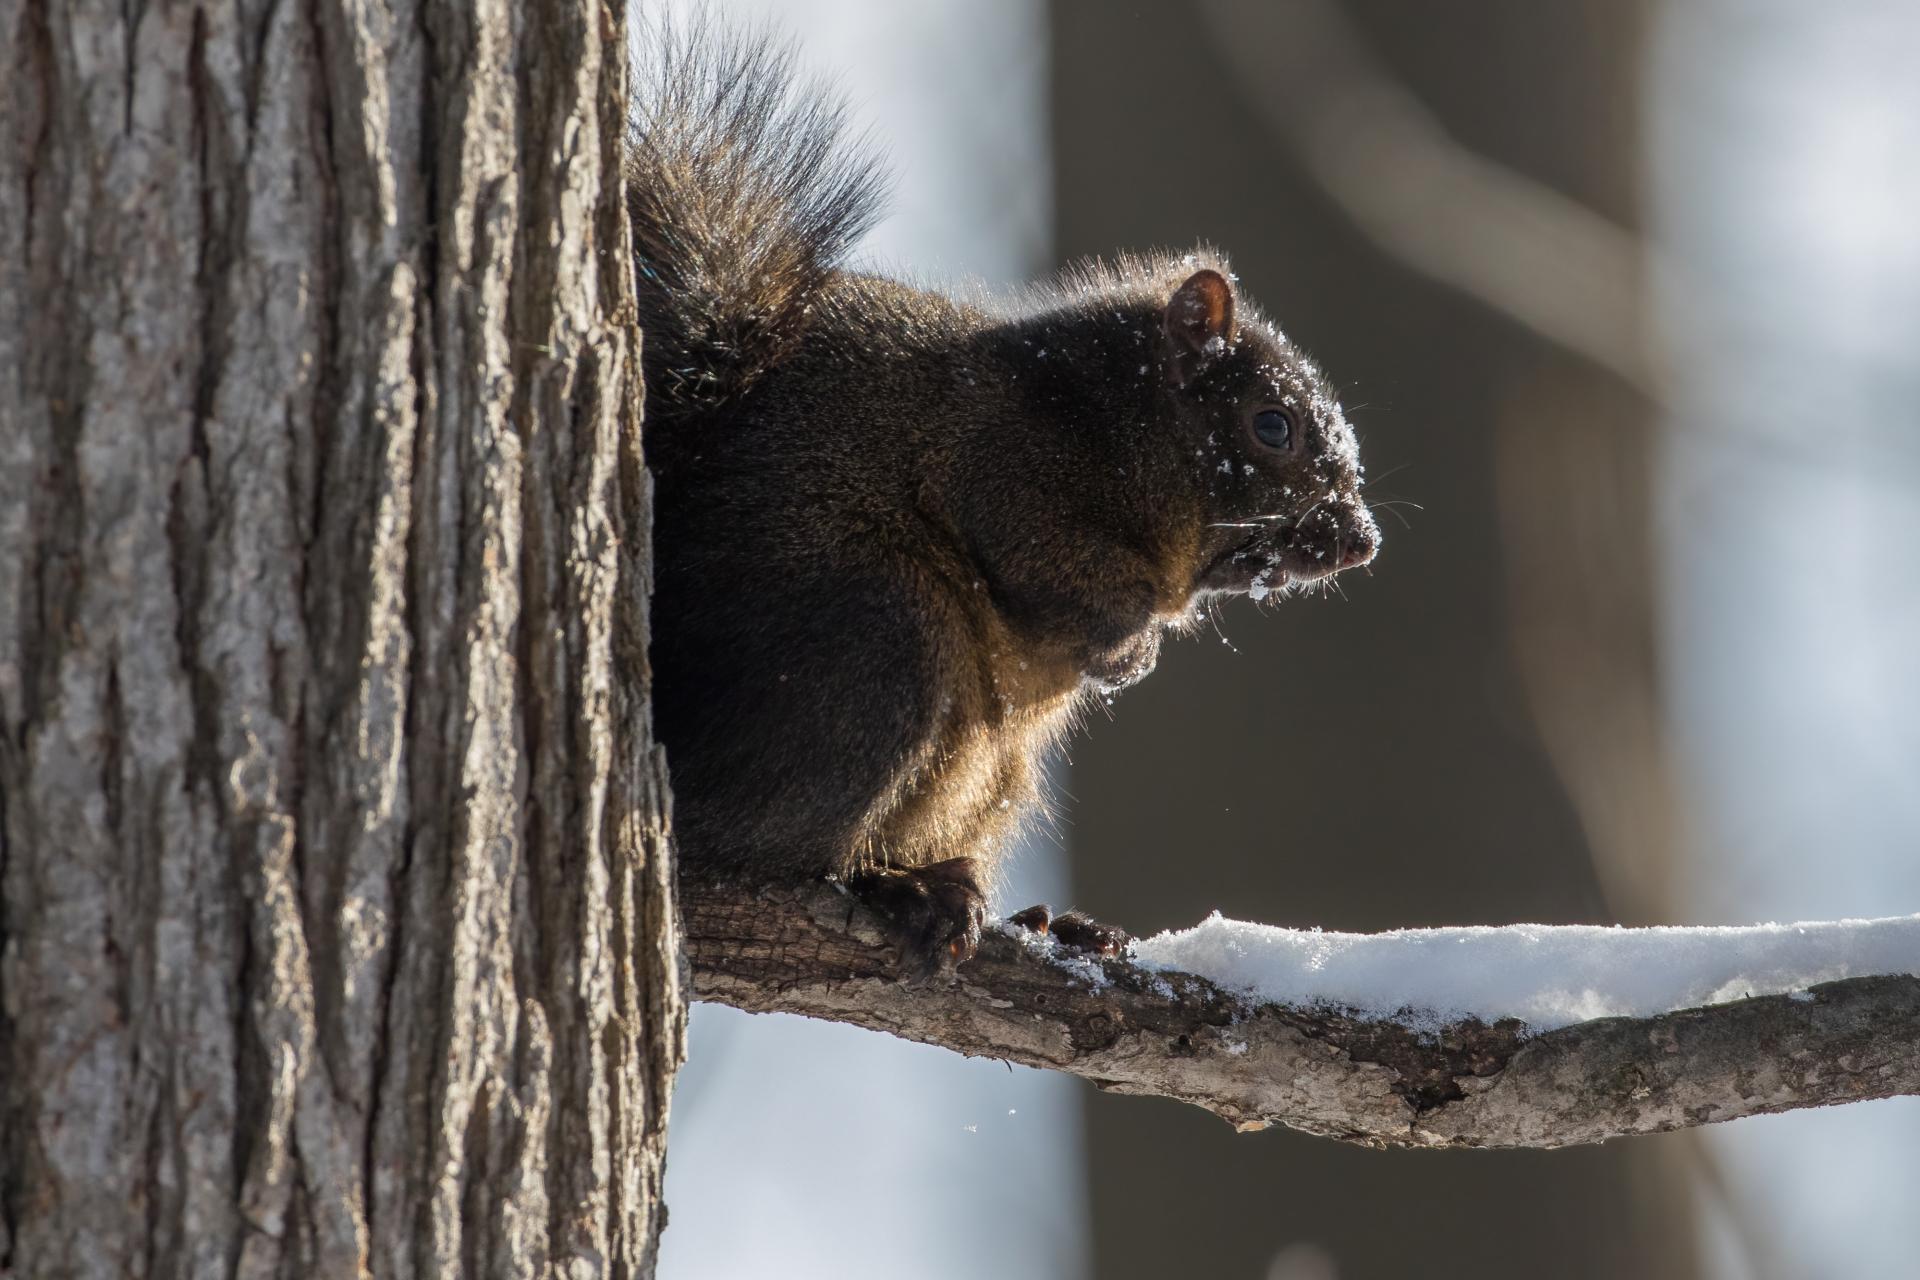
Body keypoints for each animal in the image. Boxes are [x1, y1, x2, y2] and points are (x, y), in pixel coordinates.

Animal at [629, 31, 1379, 975]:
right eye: (1271, 425)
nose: (1363, 539)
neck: (1114, 417)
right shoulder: (1006, 471)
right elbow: (1053, 571)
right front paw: (1130, 649)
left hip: (994, 775)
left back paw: (1035, 916)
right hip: (876, 648)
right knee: (748, 839)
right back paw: (901, 888)